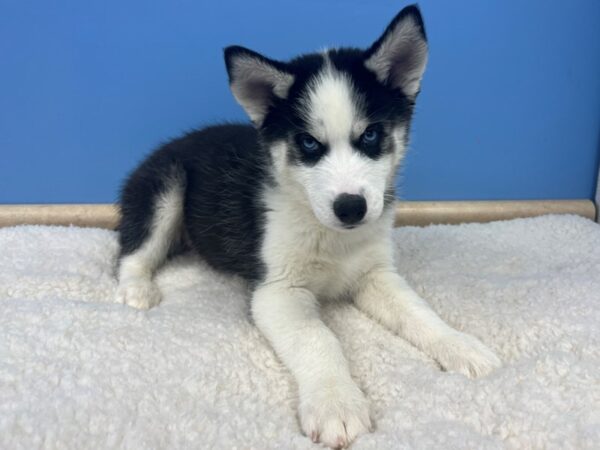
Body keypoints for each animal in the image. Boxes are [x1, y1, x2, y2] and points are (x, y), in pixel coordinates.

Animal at [115, 5, 500, 448]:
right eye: (309, 143)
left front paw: (461, 346)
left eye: (371, 134)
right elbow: (318, 338)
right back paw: (136, 289)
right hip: (167, 185)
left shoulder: (375, 274)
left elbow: (418, 312)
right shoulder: (277, 290)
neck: (332, 237)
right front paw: (336, 403)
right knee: (132, 250)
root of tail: (171, 144)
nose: (351, 208)